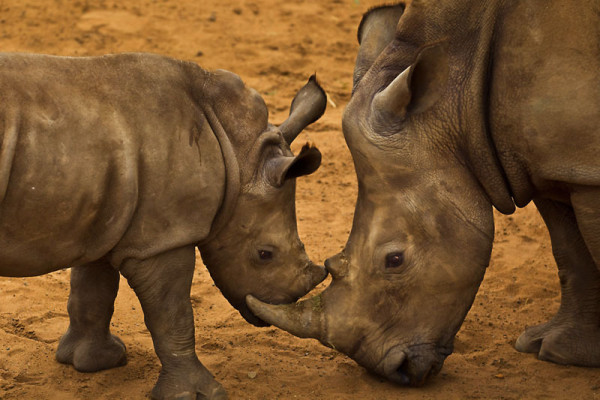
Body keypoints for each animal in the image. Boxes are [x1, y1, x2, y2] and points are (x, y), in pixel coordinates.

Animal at [0, 51, 328, 398]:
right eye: (264, 254)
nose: (287, 299)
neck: (238, 154)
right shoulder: (162, 239)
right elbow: (173, 314)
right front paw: (199, 394)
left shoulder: (106, 216)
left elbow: (93, 289)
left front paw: (94, 362)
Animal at [248, 0, 600, 388]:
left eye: (395, 259)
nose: (392, 371)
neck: (458, 102)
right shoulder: (553, 161)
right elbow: (570, 250)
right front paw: (556, 351)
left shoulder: (583, 164)